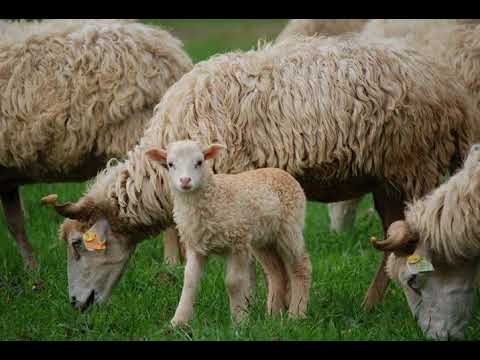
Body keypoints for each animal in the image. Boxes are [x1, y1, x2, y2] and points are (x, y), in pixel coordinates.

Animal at [146, 140, 312, 326]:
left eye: (199, 162)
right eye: (170, 164)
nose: (185, 181)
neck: (214, 196)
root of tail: (281, 172)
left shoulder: (237, 242)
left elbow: (233, 282)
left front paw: (240, 320)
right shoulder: (195, 246)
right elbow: (189, 281)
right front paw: (178, 321)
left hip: (289, 228)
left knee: (301, 267)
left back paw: (296, 314)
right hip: (264, 239)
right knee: (276, 272)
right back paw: (273, 315)